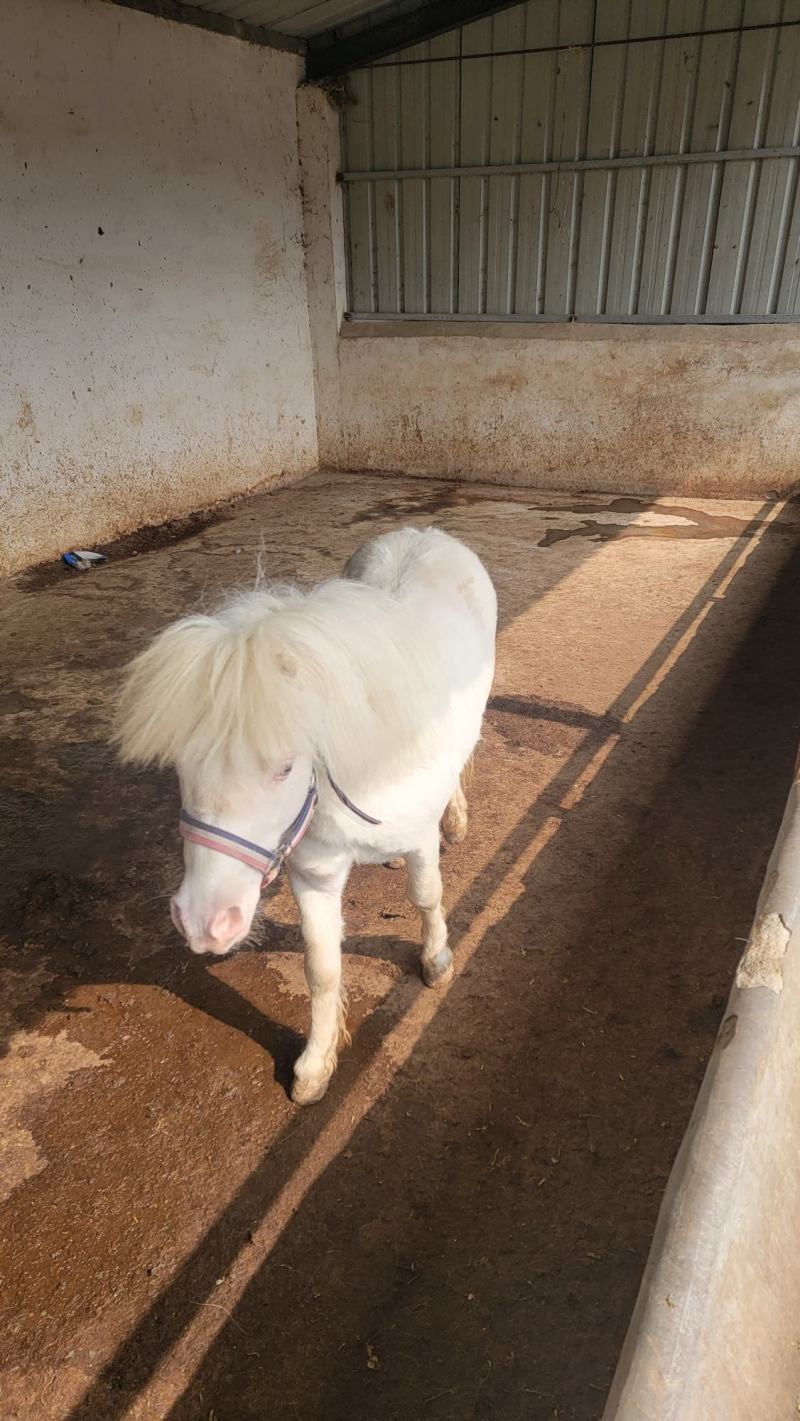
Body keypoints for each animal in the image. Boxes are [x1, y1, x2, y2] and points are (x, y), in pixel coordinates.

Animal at [114, 526, 497, 1104]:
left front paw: (436, 962)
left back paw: (455, 819)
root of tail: (423, 533)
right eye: (182, 764)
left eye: (285, 766)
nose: (205, 923)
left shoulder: (418, 842)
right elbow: (321, 968)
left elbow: (427, 896)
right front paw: (316, 1065)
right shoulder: (314, 872)